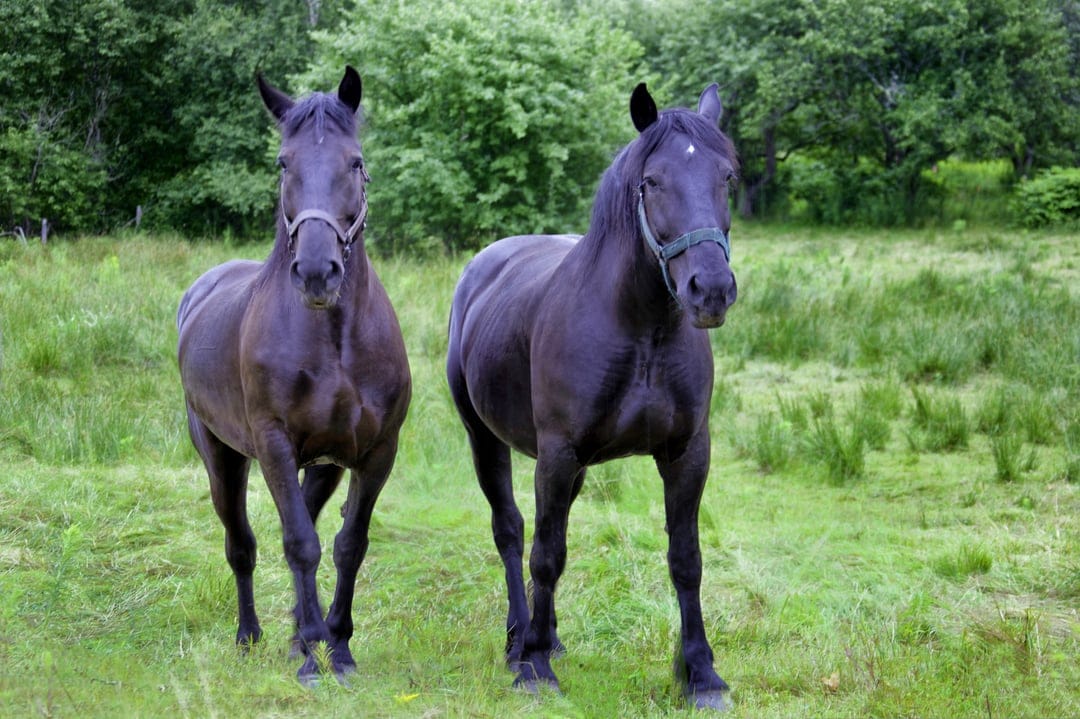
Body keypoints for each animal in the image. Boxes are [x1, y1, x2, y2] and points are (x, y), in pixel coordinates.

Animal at [177, 66, 411, 684]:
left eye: (355, 162)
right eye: (284, 163)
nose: (315, 271)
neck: (335, 342)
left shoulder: (375, 450)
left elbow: (349, 543)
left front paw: (339, 646)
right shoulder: (274, 444)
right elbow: (300, 543)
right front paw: (312, 652)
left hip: (322, 465)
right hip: (222, 456)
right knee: (242, 543)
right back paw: (252, 636)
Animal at [446, 82, 738, 709]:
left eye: (727, 176)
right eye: (652, 181)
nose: (710, 290)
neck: (641, 329)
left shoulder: (686, 454)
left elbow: (686, 560)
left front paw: (700, 673)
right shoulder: (556, 455)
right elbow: (545, 554)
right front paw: (533, 670)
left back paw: (547, 635)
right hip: (486, 440)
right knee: (512, 531)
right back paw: (520, 639)